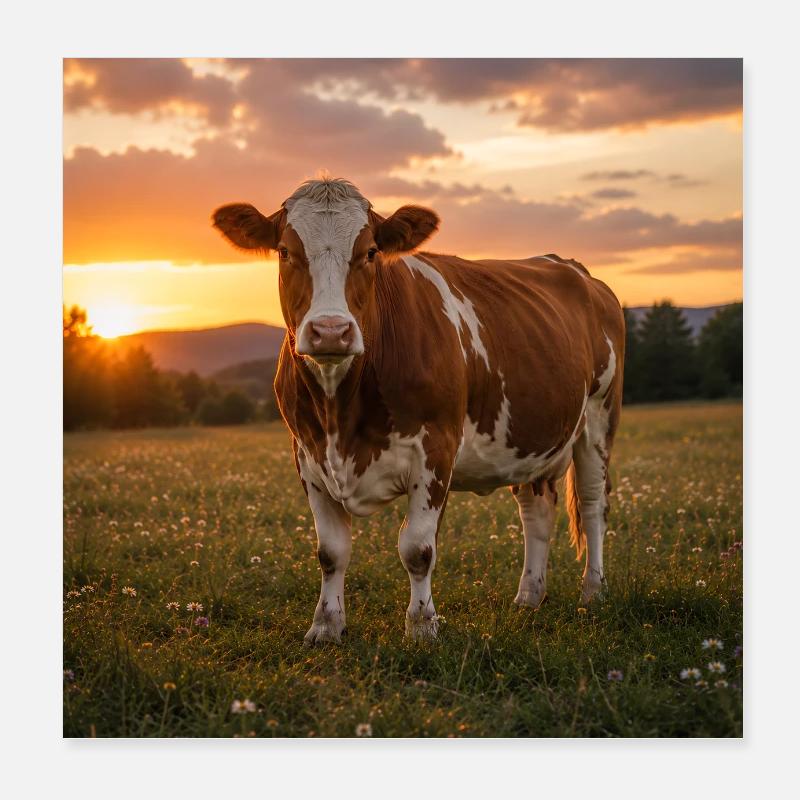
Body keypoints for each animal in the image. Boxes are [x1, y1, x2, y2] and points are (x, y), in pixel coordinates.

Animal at [213, 177, 624, 644]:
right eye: (284, 251)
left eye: (371, 251)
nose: (331, 331)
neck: (341, 416)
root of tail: (572, 267)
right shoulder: (307, 454)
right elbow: (331, 551)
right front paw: (326, 625)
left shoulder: (436, 448)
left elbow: (418, 549)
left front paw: (422, 626)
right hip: (531, 436)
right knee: (536, 509)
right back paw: (528, 597)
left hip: (599, 418)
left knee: (593, 505)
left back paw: (593, 591)